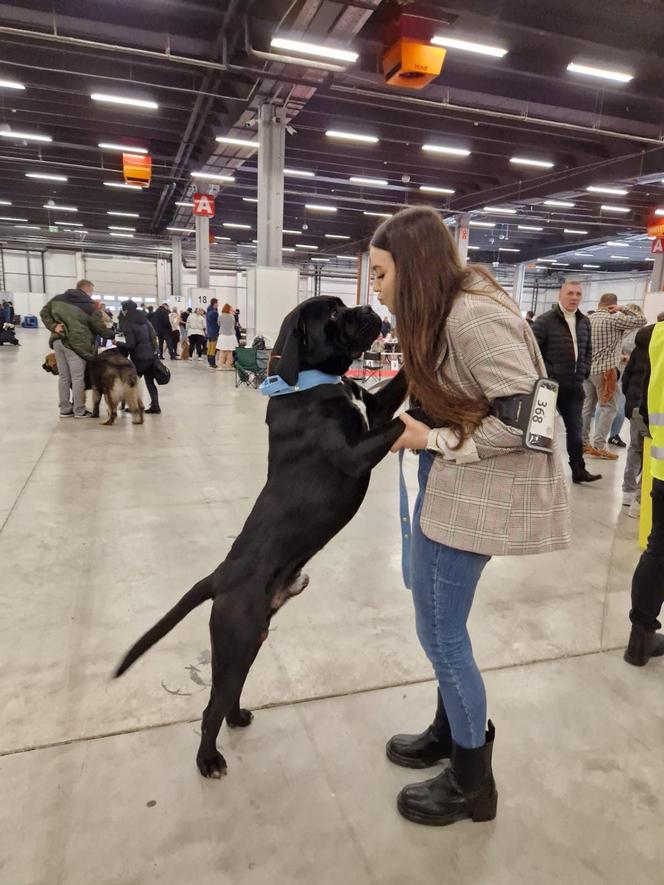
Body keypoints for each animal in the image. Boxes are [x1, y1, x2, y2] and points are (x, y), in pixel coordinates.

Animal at [114, 296, 408, 772]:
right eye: (332, 314)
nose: (369, 309)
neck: (312, 381)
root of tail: (218, 577)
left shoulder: (376, 408)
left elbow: (401, 383)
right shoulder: (356, 453)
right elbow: (403, 423)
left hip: (250, 641)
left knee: (229, 694)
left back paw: (237, 719)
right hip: (235, 640)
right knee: (211, 707)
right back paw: (208, 759)